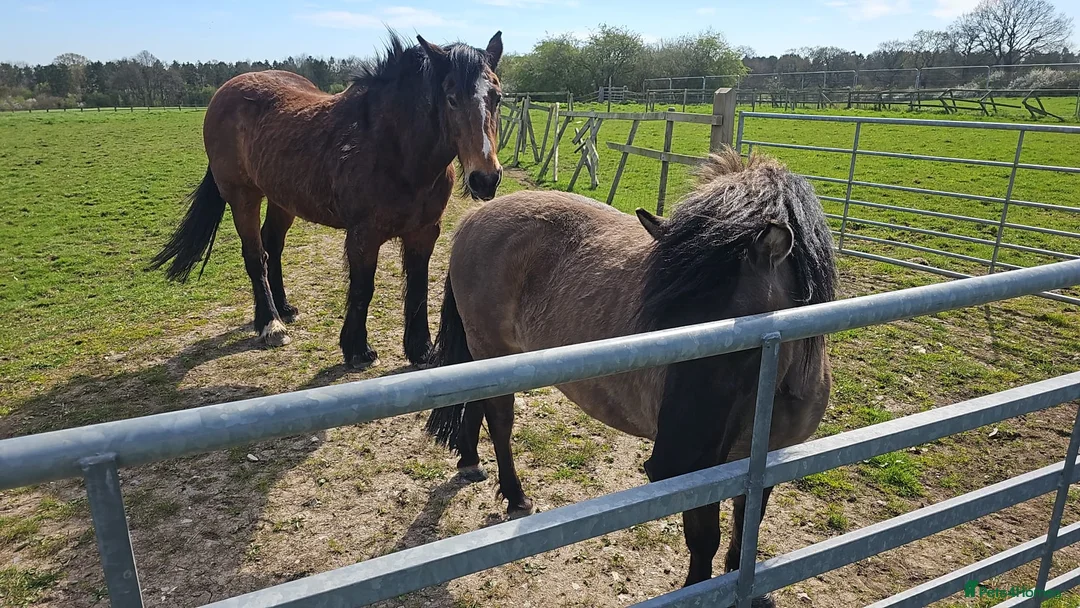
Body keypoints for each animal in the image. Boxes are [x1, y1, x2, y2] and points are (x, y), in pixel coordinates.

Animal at [149, 30, 505, 369]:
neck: (392, 147)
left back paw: (284, 308)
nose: (485, 178)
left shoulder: (425, 231)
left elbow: (418, 287)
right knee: (255, 255)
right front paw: (358, 350)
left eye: (497, 97)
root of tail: (225, 92)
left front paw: (421, 350)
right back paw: (271, 324)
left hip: (283, 201)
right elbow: (363, 288)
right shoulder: (363, 235)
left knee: (272, 245)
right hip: (242, 198)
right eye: (451, 98)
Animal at [422, 149, 837, 603]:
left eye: (741, 329)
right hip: (493, 352)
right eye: (664, 326)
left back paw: (469, 460)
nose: (672, 463)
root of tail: (474, 218)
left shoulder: (768, 457)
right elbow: (704, 540)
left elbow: (749, 525)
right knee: (499, 419)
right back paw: (516, 496)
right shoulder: (706, 473)